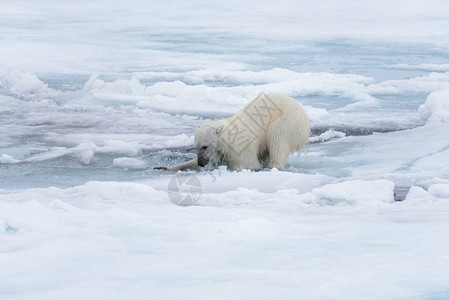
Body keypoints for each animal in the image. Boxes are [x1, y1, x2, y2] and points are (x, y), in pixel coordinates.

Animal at [153, 91, 308, 171]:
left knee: (277, 139)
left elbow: (249, 164)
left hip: (287, 121)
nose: (201, 163)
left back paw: (272, 166)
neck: (226, 139)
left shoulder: (239, 148)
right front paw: (163, 167)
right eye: (196, 147)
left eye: (205, 146)